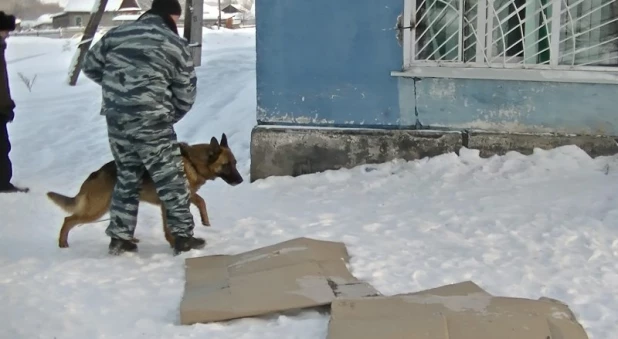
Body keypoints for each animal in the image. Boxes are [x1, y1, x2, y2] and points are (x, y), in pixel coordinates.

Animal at [47, 134, 243, 248]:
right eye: (226, 165)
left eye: (235, 163)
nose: (241, 180)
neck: (192, 161)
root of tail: (96, 173)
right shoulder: (173, 199)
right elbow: (184, 213)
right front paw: (176, 242)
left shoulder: (183, 197)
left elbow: (200, 201)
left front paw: (203, 222)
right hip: (95, 210)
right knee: (68, 220)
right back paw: (62, 243)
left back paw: (127, 240)